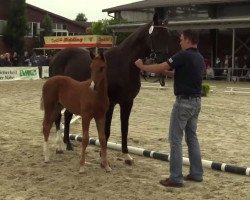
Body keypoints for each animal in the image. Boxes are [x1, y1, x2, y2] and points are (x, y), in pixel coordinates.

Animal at [49, 13, 169, 165]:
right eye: (157, 34)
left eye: (167, 34)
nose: (164, 59)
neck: (124, 63)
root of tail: (55, 57)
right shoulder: (110, 103)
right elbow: (106, 130)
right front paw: (103, 156)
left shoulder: (127, 102)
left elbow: (125, 128)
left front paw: (126, 155)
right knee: (58, 118)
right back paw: (59, 147)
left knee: (67, 115)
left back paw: (68, 144)